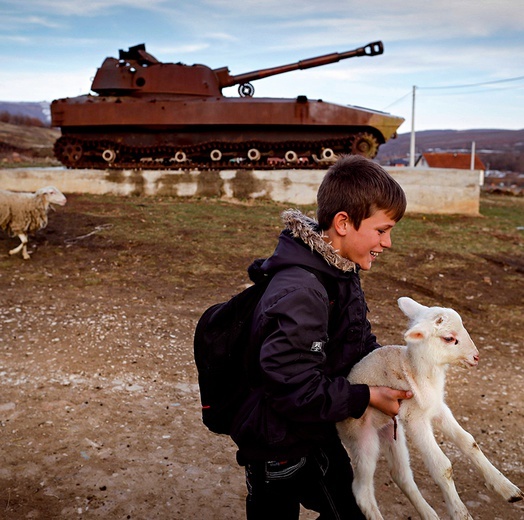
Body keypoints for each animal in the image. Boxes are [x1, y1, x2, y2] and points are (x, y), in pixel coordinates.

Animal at [338, 296, 520, 520]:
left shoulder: (437, 406)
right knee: (362, 491)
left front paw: (507, 489)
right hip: (361, 436)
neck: (417, 371)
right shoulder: (414, 417)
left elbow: (469, 442)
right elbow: (442, 467)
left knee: (401, 474)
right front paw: (460, 513)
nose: (476, 357)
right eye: (449, 338)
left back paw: (430, 514)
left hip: (391, 429)